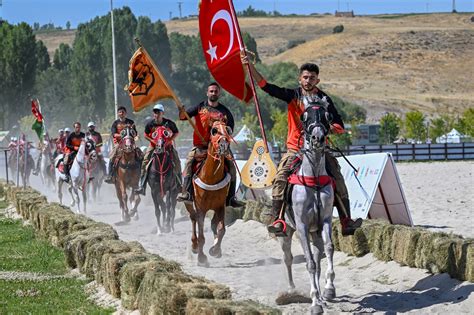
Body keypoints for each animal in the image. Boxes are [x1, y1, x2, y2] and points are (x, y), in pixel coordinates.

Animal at [184, 119, 232, 268]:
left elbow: (222, 229)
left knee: (213, 224)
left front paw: (215, 250)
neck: (211, 178)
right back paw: (194, 246)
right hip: (189, 203)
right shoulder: (201, 208)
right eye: (214, 131)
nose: (223, 145)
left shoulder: (221, 206)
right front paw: (201, 258)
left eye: (227, 130)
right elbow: (201, 235)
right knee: (193, 218)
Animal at [280, 102, 336, 314]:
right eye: (304, 117)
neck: (313, 182)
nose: (317, 138)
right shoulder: (302, 227)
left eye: (328, 116)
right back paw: (291, 288)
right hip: (286, 233)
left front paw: (328, 290)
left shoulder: (324, 221)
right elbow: (310, 263)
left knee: (319, 258)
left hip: (315, 233)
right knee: (288, 258)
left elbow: (329, 249)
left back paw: (321, 296)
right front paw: (314, 303)